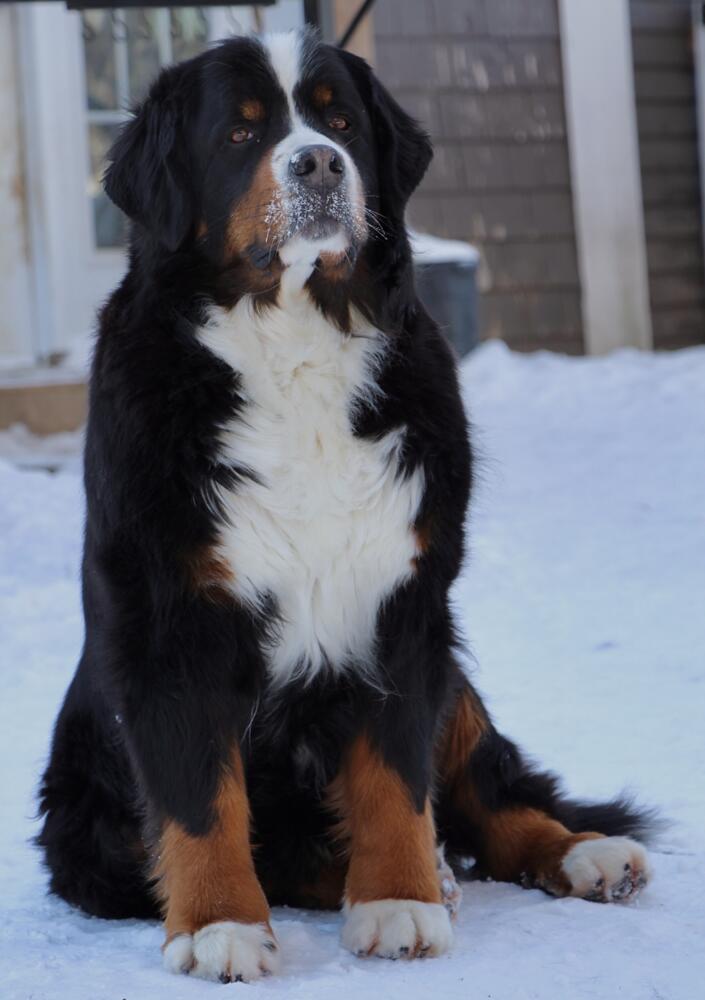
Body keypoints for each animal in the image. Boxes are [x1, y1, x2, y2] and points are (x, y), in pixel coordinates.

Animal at [37, 29, 653, 983]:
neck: (294, 340)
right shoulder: (171, 615)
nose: (320, 164)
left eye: (339, 122)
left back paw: (579, 855)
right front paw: (220, 925)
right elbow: (200, 796)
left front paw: (398, 900)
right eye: (241, 132)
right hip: (84, 809)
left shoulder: (403, 597)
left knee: (489, 788)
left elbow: (395, 774)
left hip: (454, 672)